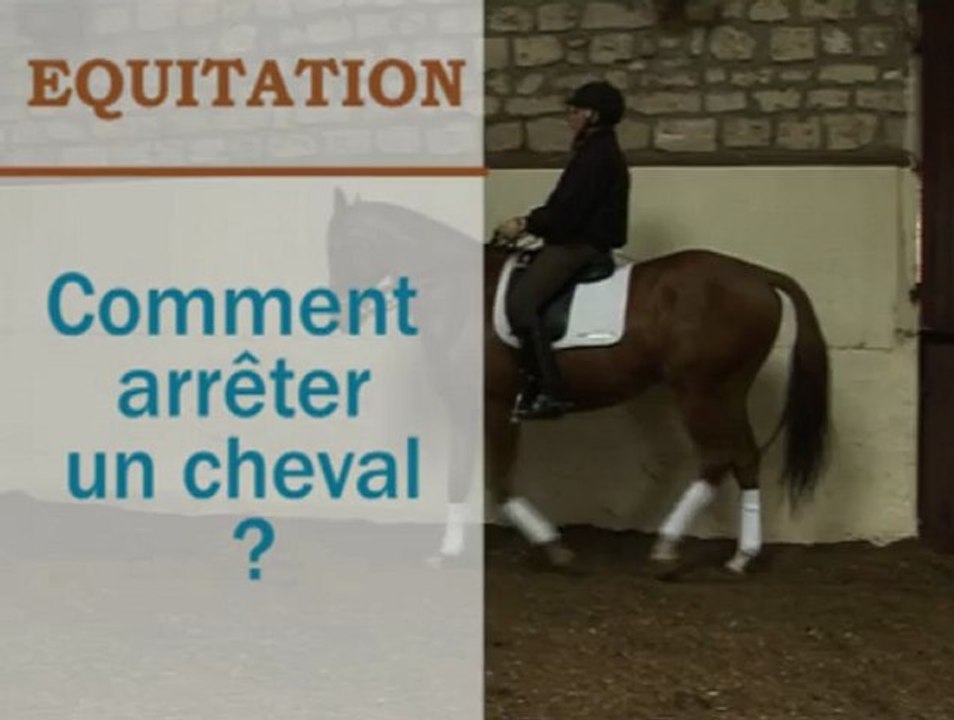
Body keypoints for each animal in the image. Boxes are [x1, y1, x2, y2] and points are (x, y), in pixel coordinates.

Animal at [325, 189, 831, 575]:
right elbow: (467, 478)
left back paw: (667, 548)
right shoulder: (474, 406)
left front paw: (550, 547)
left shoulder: (494, 406)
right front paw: (454, 552)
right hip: (727, 391)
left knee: (716, 459)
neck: (458, 293)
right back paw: (742, 556)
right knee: (744, 459)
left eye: (342, 246)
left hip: (700, 391)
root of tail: (757, 275)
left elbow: (497, 484)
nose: (338, 313)